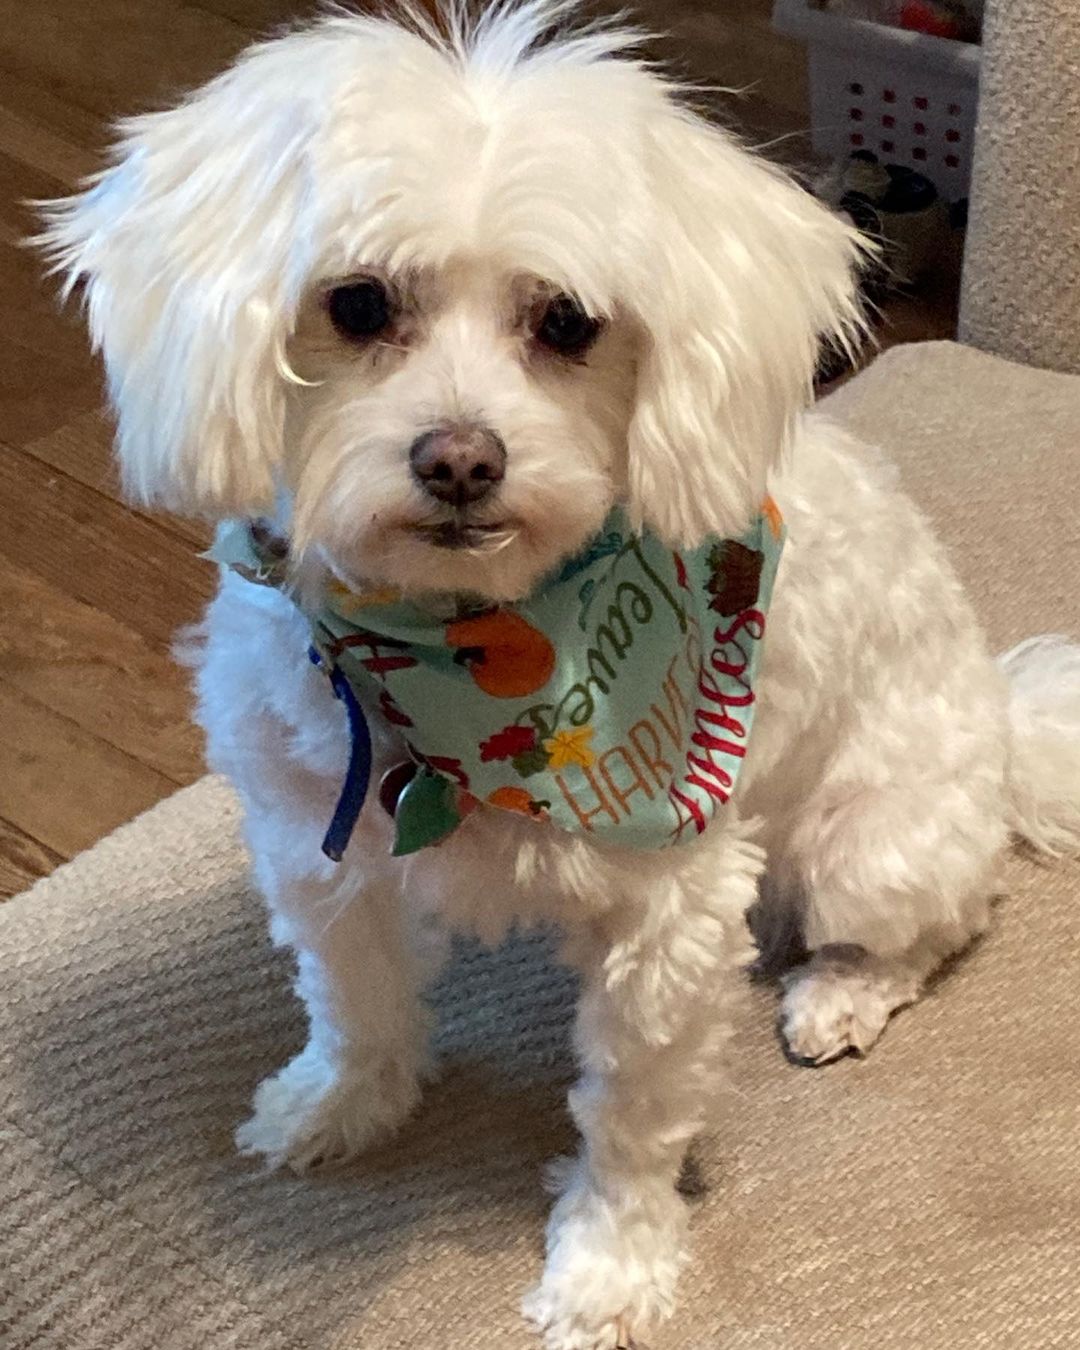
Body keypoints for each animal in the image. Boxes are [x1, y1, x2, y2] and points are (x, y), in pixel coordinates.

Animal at [40, 5, 1080, 1344]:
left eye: (568, 324)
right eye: (357, 304)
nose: (459, 460)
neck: (459, 662)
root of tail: (1006, 726)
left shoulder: (674, 912)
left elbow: (629, 1121)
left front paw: (608, 1269)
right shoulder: (315, 848)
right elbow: (352, 999)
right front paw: (343, 1105)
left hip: (872, 847)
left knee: (939, 922)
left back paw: (841, 993)